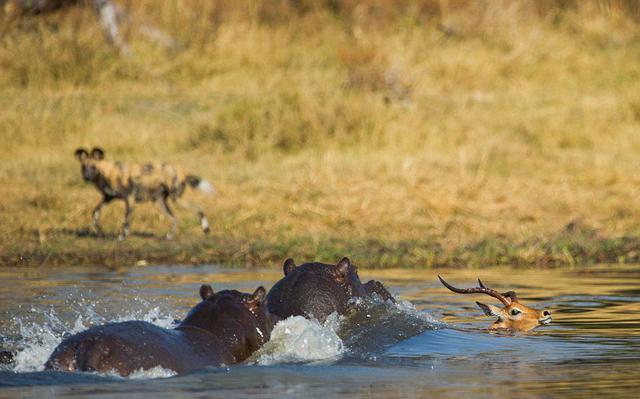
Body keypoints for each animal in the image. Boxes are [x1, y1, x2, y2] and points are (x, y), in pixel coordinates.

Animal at [74, 148, 215, 239]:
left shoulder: (129, 199)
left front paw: (123, 236)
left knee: (199, 208)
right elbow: (95, 212)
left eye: (93, 167)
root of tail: (182, 171)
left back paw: (206, 228)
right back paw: (169, 236)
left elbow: (126, 220)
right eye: (83, 167)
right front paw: (98, 229)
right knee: (175, 219)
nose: (86, 177)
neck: (107, 173)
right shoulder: (108, 198)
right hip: (159, 203)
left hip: (177, 200)